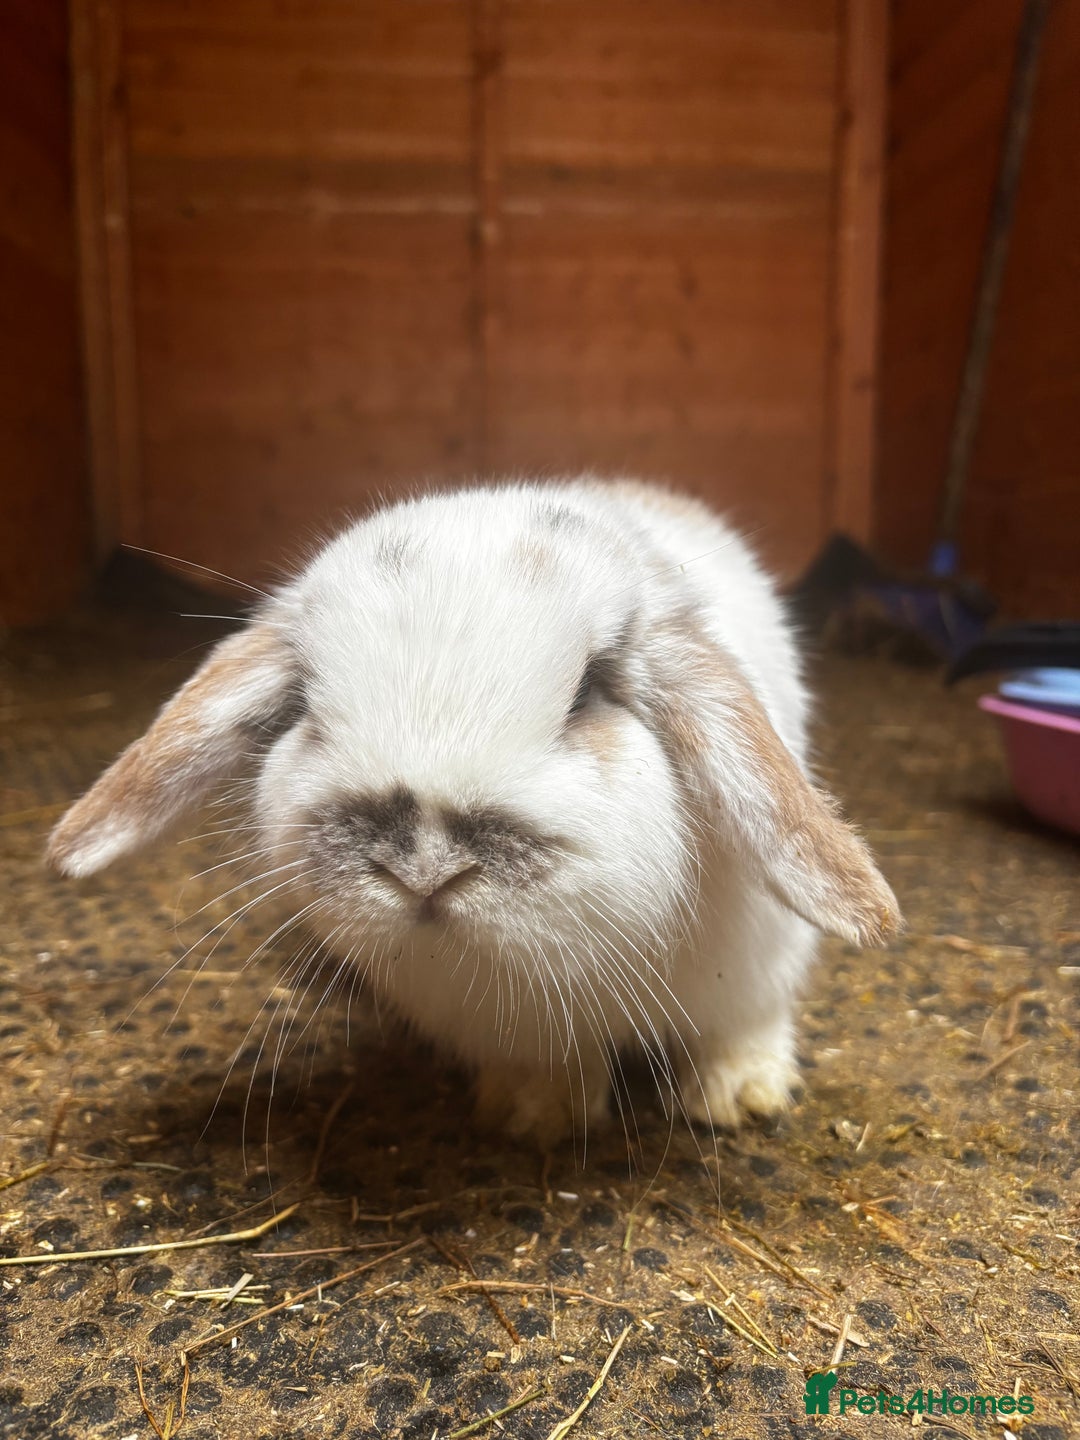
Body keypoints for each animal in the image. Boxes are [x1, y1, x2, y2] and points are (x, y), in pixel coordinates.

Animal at [47, 478, 901, 1146]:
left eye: (590, 690)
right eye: (310, 707)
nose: (425, 865)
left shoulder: (754, 975)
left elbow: (742, 1028)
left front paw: (740, 1098)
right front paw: (533, 1118)